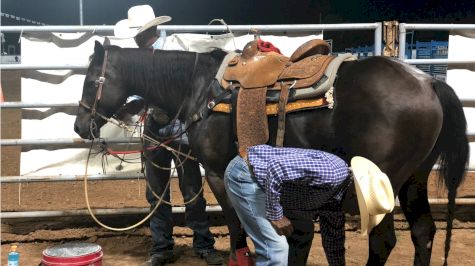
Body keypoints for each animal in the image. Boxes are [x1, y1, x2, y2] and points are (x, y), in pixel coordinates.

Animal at [74, 40, 468, 264]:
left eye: (92, 82)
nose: (80, 127)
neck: (198, 88)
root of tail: (428, 82)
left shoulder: (216, 172)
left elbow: (235, 223)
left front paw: (241, 257)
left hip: (380, 184)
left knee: (384, 241)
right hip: (414, 179)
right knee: (423, 233)